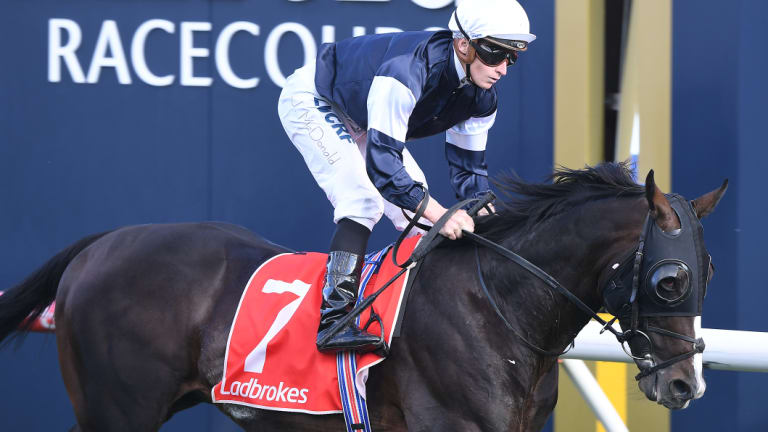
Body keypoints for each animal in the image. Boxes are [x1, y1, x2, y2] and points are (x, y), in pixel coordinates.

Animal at [0, 163, 728, 432]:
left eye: (711, 270)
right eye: (669, 280)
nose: (687, 382)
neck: (498, 304)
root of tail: (99, 245)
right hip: (116, 410)